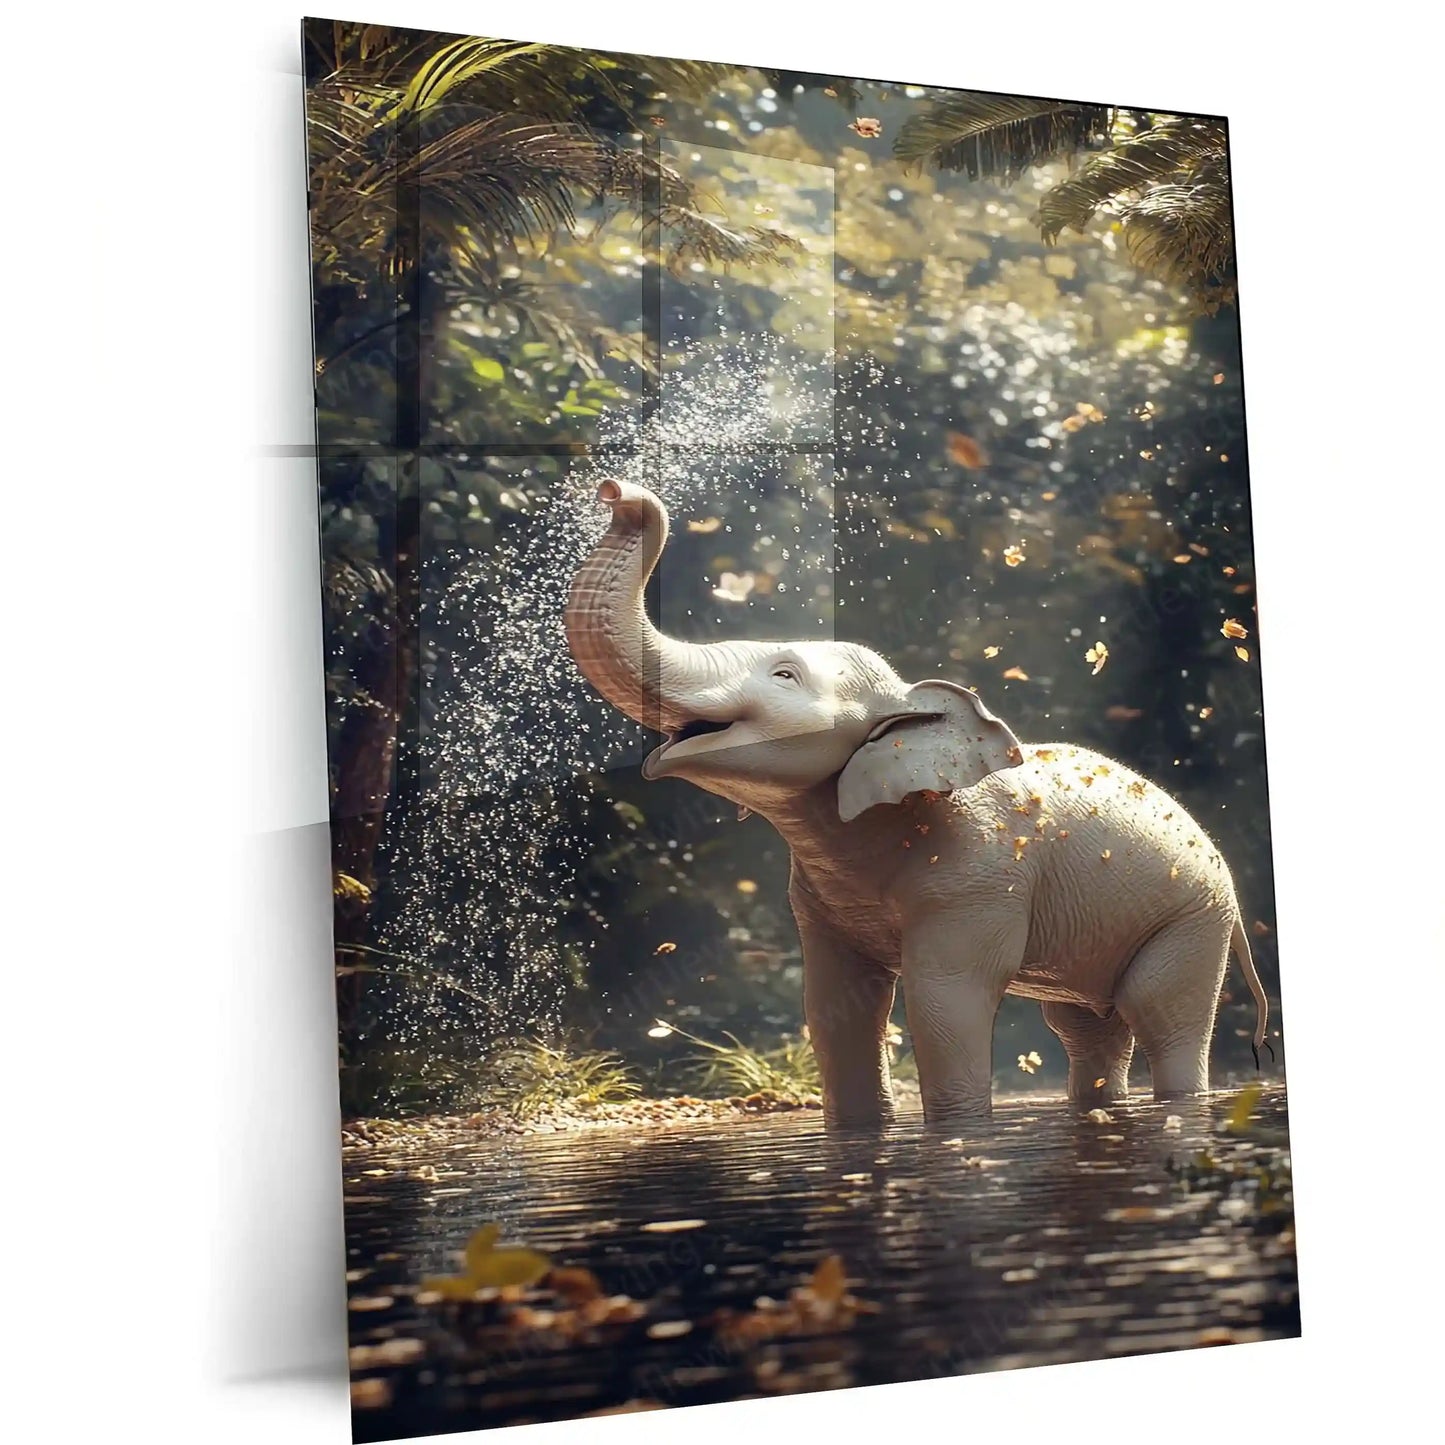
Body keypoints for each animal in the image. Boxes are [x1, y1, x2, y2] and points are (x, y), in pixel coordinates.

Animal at [564, 478, 1270, 1129]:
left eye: (785, 676)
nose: (615, 491)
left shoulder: (976, 878)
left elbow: (944, 999)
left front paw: (956, 1133)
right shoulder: (818, 898)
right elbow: (836, 1004)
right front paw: (859, 1134)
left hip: (1193, 918)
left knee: (1162, 1014)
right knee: (1085, 1027)